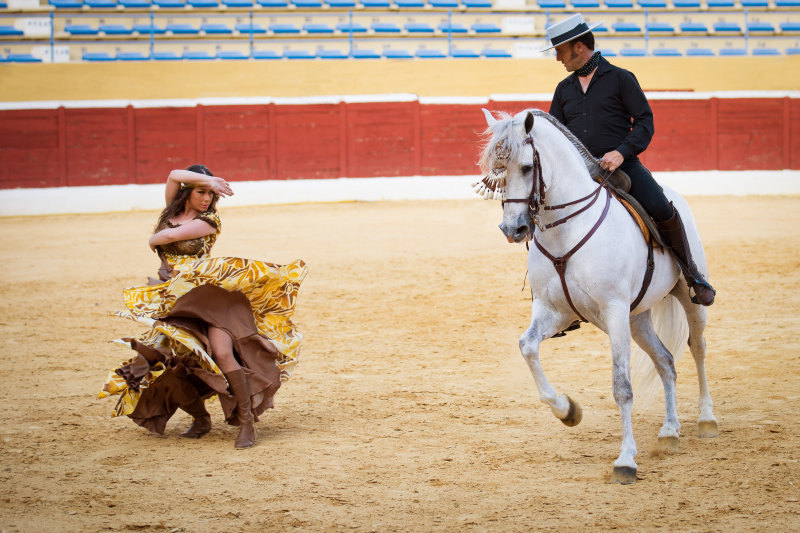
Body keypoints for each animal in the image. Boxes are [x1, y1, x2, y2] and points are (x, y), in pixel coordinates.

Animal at [478, 108, 720, 482]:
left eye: (527, 167)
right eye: (497, 169)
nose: (512, 229)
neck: (566, 229)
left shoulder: (614, 310)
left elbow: (622, 386)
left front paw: (626, 459)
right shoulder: (553, 310)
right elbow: (527, 347)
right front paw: (567, 411)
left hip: (686, 298)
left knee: (697, 347)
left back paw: (706, 419)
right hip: (637, 319)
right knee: (665, 360)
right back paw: (669, 431)